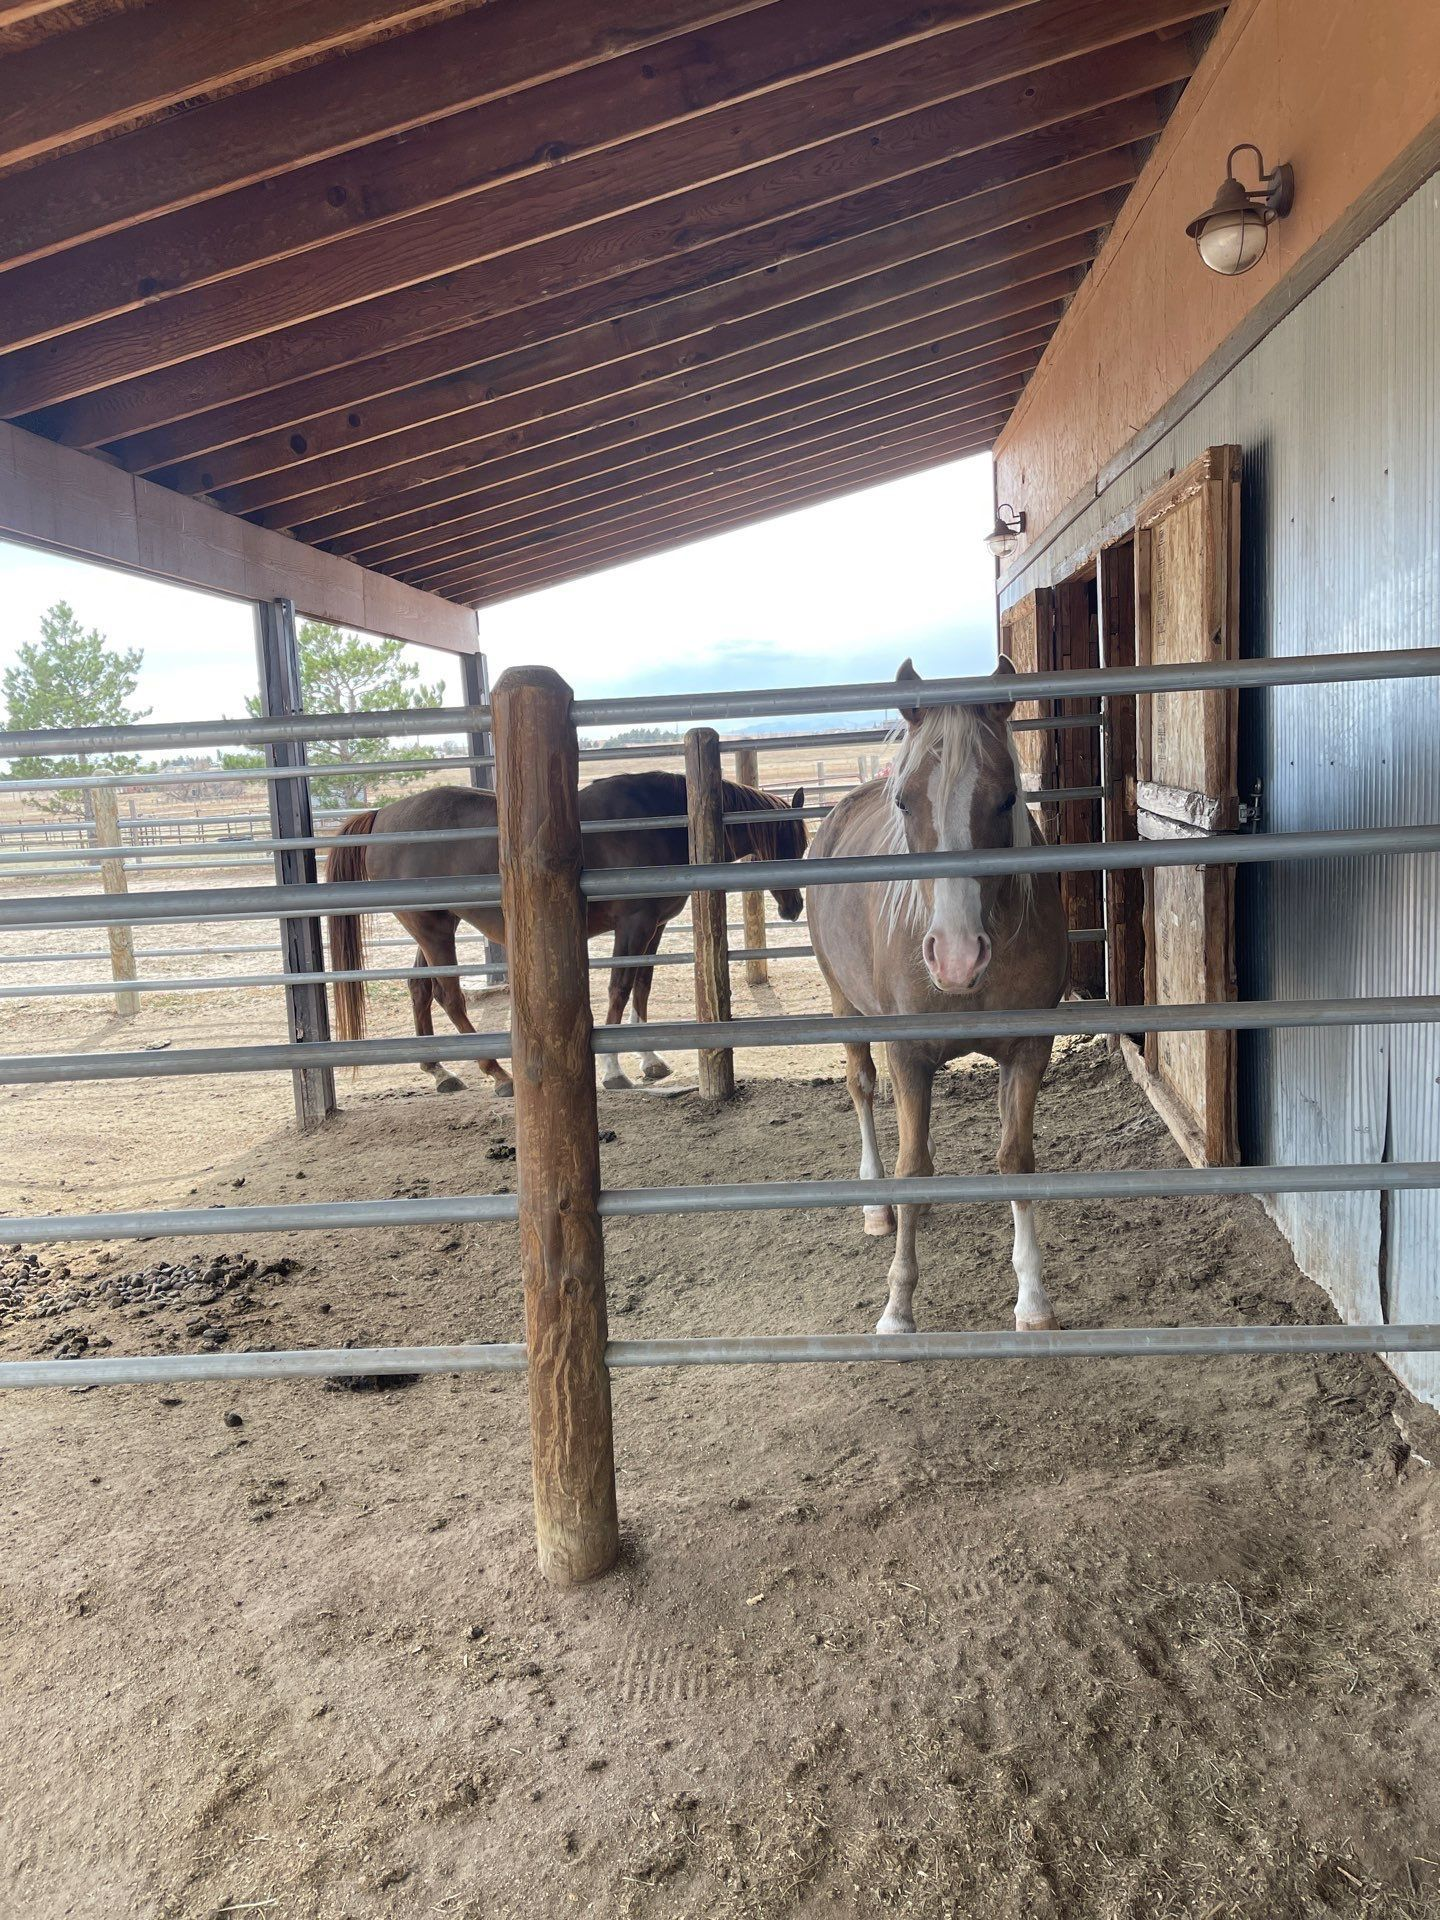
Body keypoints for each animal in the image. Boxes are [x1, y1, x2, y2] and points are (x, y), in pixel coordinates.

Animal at [325, 771, 807, 1096]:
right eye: (786, 843)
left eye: (800, 846)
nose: (794, 907)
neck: (659, 819)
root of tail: (382, 815)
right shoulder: (633, 925)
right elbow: (618, 988)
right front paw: (613, 1070)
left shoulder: (654, 927)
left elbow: (642, 987)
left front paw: (650, 1059)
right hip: (432, 928)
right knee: (448, 995)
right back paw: (498, 1073)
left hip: (434, 926)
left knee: (420, 988)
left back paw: (441, 1071)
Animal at [807, 657, 1069, 1337]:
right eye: (905, 800)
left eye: (1006, 798)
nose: (956, 957)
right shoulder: (908, 1054)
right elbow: (909, 1169)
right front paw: (898, 1308)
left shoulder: (1029, 1049)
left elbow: (1014, 1158)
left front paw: (1033, 1299)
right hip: (846, 1006)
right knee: (863, 1090)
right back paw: (877, 1209)